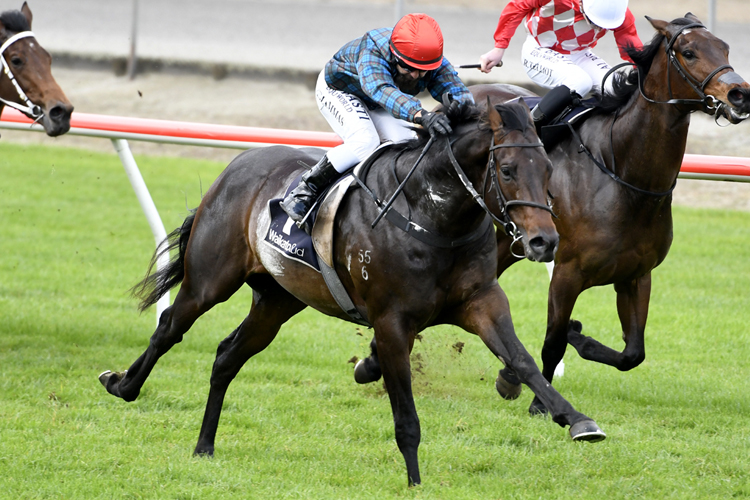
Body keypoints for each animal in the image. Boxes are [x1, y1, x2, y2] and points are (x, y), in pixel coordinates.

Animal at [100, 99, 608, 486]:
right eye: (506, 169)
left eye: (548, 168)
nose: (544, 242)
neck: (432, 217)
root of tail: (238, 164)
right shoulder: (392, 321)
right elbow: (406, 416)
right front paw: (415, 482)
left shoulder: (480, 301)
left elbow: (523, 362)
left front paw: (577, 420)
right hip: (210, 280)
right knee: (169, 327)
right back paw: (122, 384)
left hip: (278, 299)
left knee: (227, 355)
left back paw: (204, 445)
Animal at [356, 14, 750, 414]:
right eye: (689, 52)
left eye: (725, 48)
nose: (739, 94)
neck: (623, 174)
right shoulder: (567, 272)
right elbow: (553, 341)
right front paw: (538, 400)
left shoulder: (637, 274)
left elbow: (632, 353)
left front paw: (555, 352)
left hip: (509, 241)